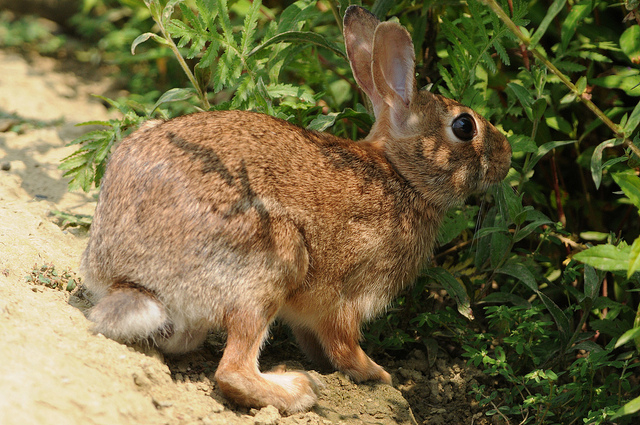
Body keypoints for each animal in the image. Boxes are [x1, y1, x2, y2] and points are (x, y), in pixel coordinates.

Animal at [80, 3, 512, 414]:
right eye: (464, 127)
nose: (506, 156)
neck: (403, 176)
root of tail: (128, 277)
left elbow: (314, 339)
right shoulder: (350, 294)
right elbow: (343, 343)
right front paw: (378, 375)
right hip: (274, 261)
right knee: (232, 371)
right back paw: (298, 390)